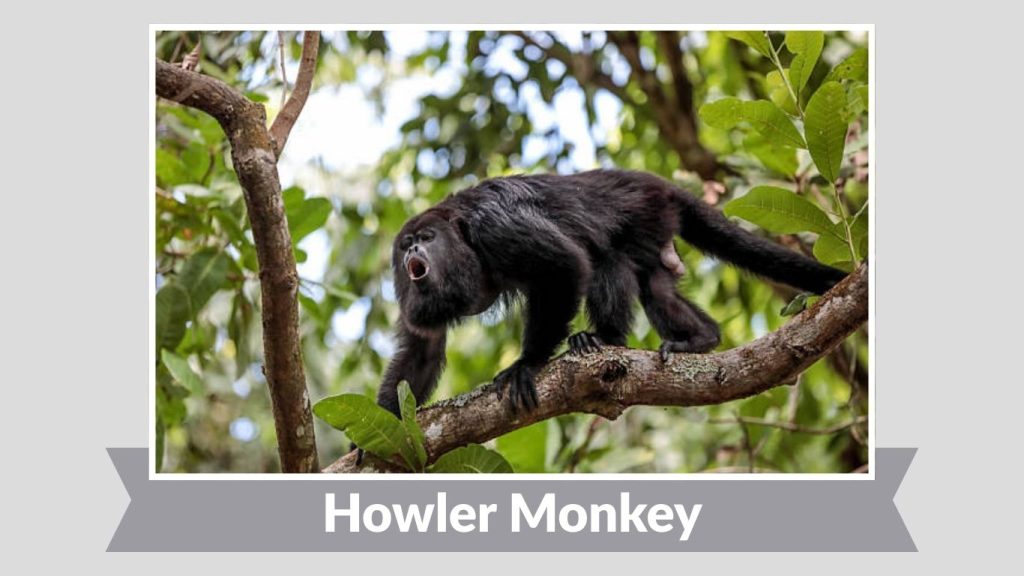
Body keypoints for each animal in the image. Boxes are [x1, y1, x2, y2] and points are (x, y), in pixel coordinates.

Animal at [375, 169, 847, 417]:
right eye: (406, 244)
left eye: (428, 238)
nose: (412, 250)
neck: (461, 236)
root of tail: (658, 183)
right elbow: (422, 349)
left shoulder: (496, 226)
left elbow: (565, 266)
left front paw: (527, 365)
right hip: (658, 236)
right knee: (656, 287)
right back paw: (702, 337)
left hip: (646, 213)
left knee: (606, 259)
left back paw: (603, 340)